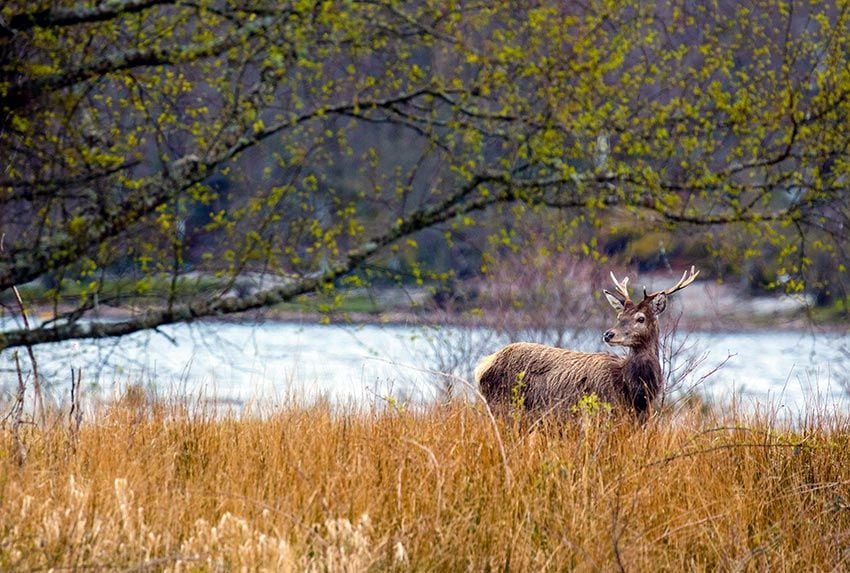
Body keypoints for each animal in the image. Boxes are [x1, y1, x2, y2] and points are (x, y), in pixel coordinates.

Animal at [470, 266, 696, 418]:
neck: (635, 393)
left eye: (641, 318)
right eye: (619, 316)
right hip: (504, 406)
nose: (608, 334)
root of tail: (482, 366)